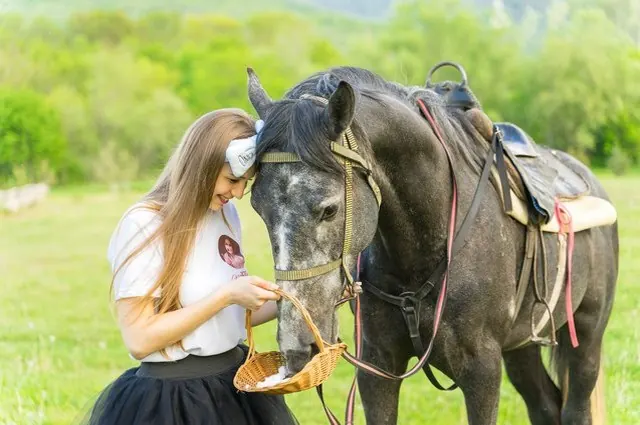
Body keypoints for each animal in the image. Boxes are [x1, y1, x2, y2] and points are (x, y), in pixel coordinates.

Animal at [246, 65, 618, 425]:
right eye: (258, 208)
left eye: (329, 209)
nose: (297, 346)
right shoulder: (378, 366)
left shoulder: (482, 370)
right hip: (522, 346)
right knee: (544, 406)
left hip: (587, 336)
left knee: (575, 408)